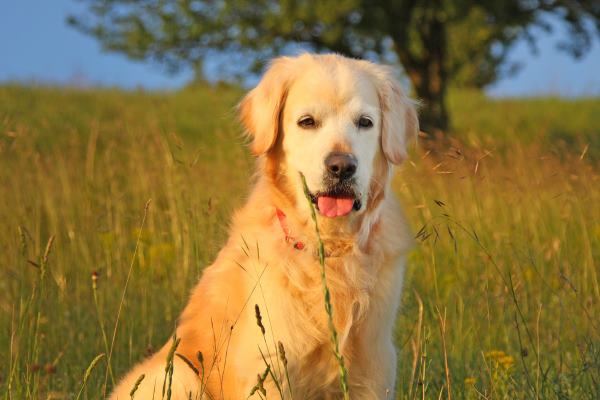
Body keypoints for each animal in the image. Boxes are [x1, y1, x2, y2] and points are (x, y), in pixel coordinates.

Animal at [109, 53, 418, 400]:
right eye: (307, 121)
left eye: (365, 122)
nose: (342, 166)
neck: (326, 248)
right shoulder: (268, 368)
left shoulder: (373, 369)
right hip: (177, 375)